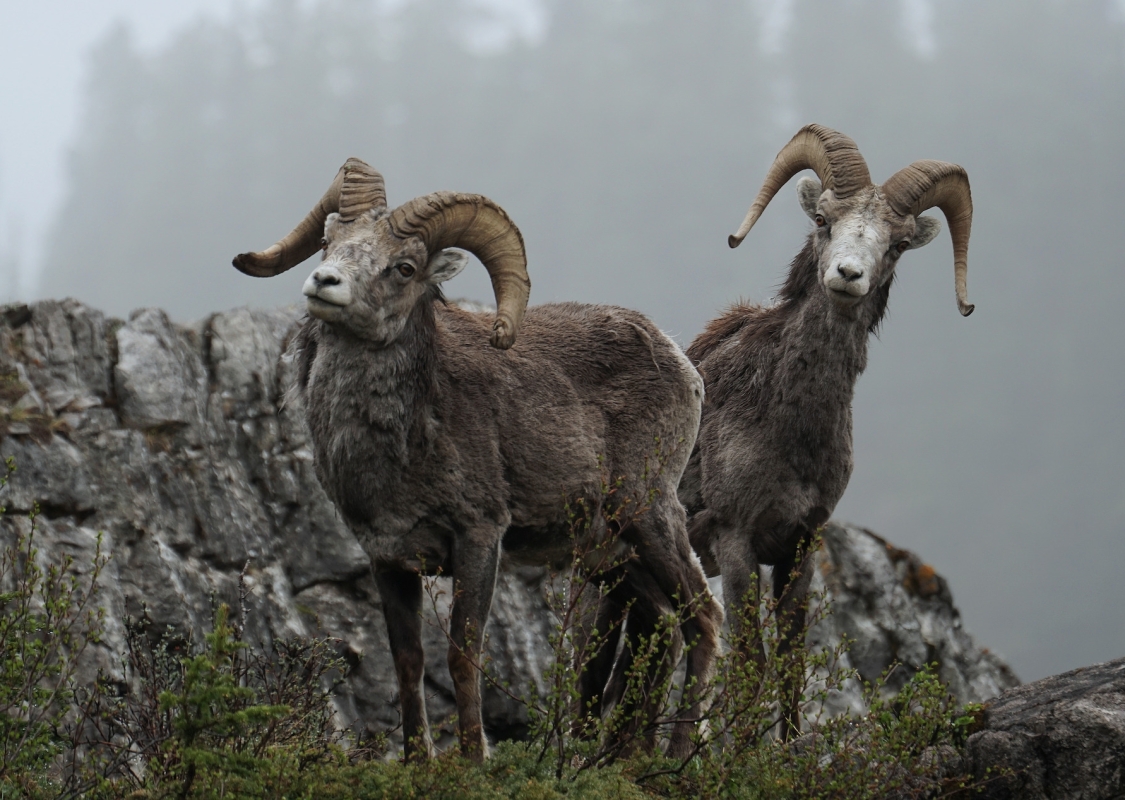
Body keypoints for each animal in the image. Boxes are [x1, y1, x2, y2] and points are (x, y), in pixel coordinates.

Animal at [231, 159, 722, 762]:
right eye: (329, 241)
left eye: (404, 267)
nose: (324, 283)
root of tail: (682, 362)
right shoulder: (389, 559)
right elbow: (408, 662)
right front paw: (418, 761)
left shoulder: (479, 538)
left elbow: (463, 656)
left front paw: (471, 760)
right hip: (616, 557)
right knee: (664, 626)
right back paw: (619, 760)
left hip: (648, 515)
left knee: (704, 620)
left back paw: (676, 756)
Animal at [679, 124, 975, 736]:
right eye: (824, 219)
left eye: (897, 244)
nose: (847, 276)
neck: (791, 432)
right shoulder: (736, 540)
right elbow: (751, 665)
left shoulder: (800, 545)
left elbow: (791, 668)